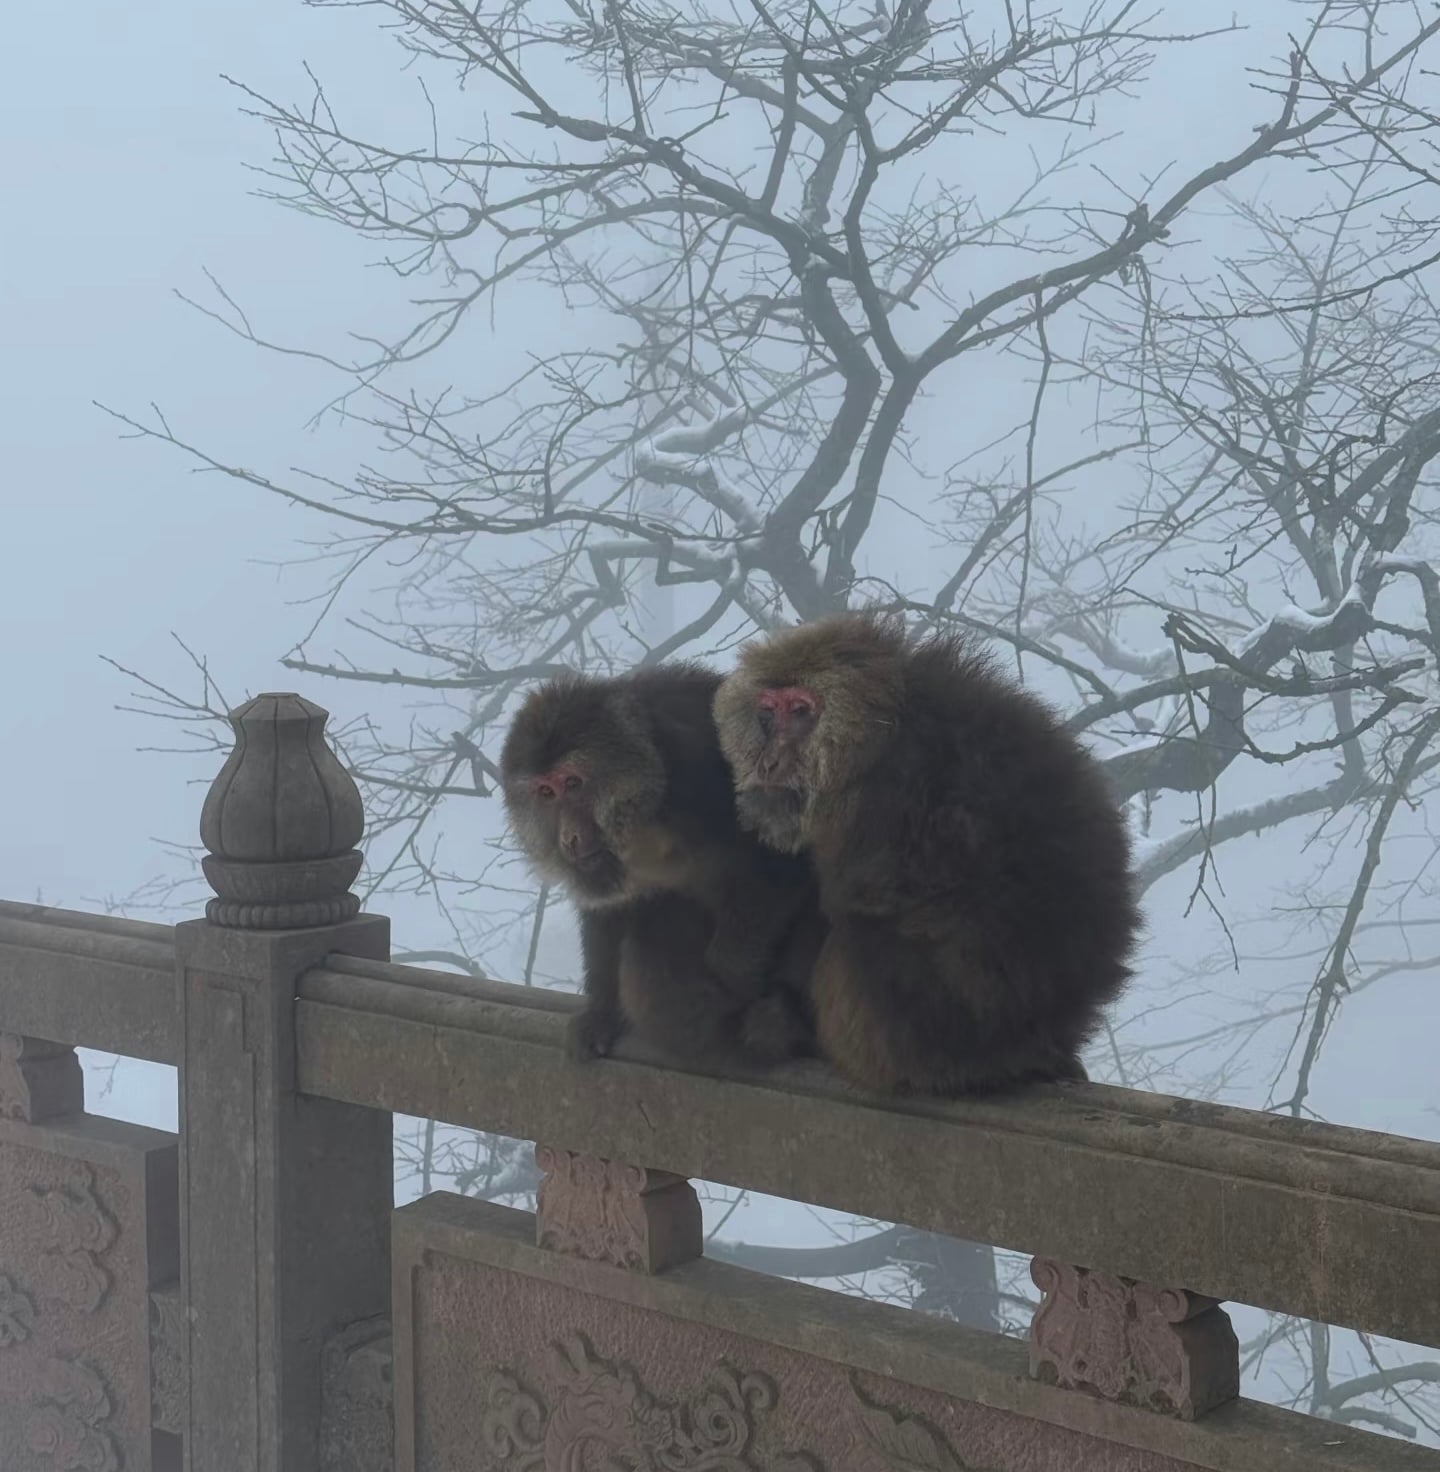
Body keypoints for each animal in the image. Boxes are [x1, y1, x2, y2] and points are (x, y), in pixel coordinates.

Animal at [500, 662, 821, 1070]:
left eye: (573, 782)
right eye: (546, 793)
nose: (569, 837)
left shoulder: (701, 775)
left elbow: (782, 863)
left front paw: (734, 978)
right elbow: (609, 911)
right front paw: (601, 1012)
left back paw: (775, 1025)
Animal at [712, 609, 1140, 1097]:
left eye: (800, 711)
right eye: (768, 713)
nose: (769, 763)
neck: (878, 737)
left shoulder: (874, 803)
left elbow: (846, 899)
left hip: (894, 1035)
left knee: (849, 928)